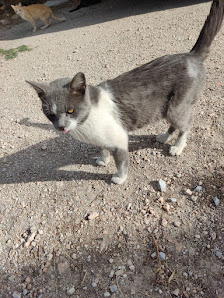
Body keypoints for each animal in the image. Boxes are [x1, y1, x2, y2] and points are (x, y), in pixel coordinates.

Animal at [27, 1, 224, 184]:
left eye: (70, 110)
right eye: (50, 114)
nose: (61, 126)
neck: (85, 123)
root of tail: (191, 56)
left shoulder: (119, 138)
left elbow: (121, 161)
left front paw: (119, 177)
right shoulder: (100, 138)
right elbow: (102, 147)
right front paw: (103, 159)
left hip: (177, 106)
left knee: (186, 124)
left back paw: (177, 146)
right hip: (167, 108)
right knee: (174, 124)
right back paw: (164, 137)